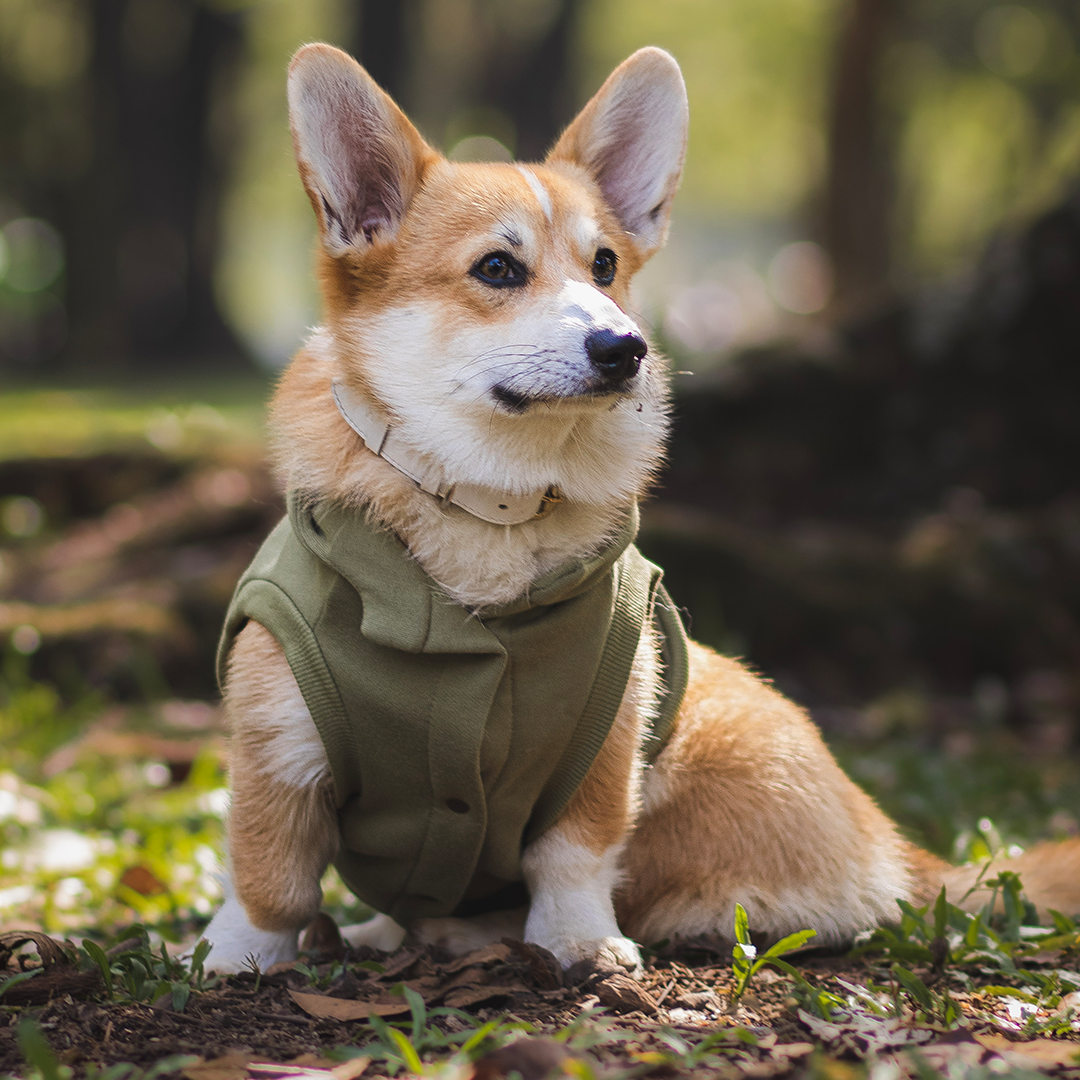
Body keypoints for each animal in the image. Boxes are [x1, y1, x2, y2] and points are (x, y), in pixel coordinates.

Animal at [200, 42, 1071, 976]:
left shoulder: (611, 732)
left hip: (703, 746)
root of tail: (896, 844)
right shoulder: (279, 738)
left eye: (606, 266)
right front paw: (238, 956)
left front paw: (580, 946)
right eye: (497, 268)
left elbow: (574, 853)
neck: (494, 503)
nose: (627, 349)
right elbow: (267, 871)